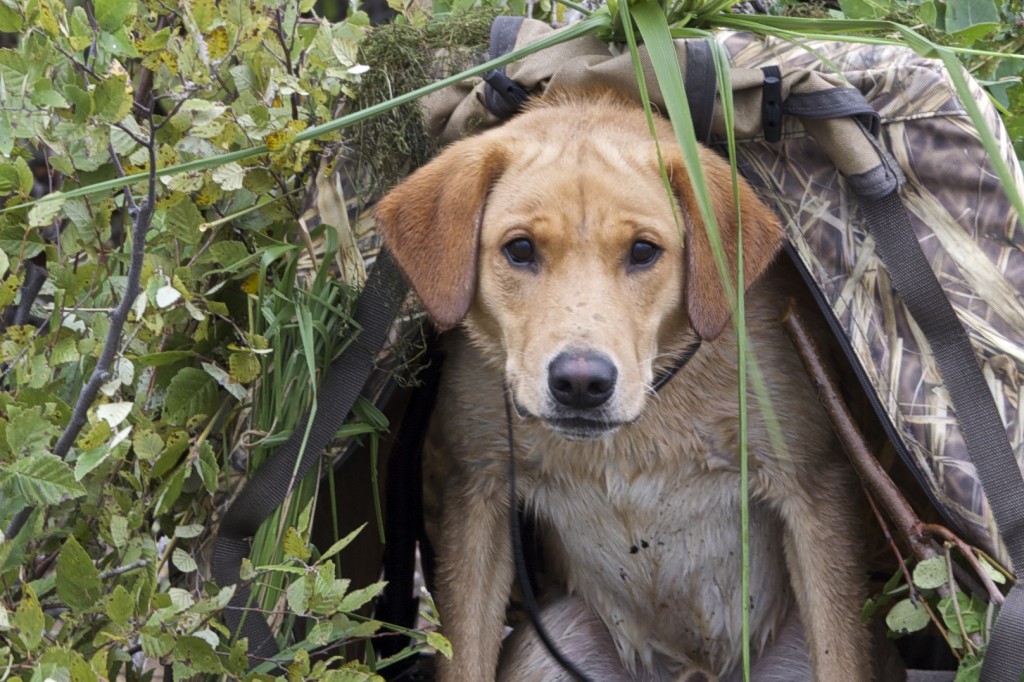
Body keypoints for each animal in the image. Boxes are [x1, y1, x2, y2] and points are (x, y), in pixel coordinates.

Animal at [380, 90, 876, 679]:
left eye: (643, 252)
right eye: (520, 249)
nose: (580, 383)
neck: (641, 425)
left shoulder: (814, 487)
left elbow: (841, 656)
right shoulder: (475, 495)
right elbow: (465, 660)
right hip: (552, 647)